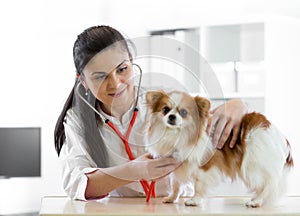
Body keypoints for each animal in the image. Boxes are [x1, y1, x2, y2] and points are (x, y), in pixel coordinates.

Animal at [145, 90, 292, 208]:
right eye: (165, 110)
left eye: (184, 112)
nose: (171, 116)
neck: (177, 134)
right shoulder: (176, 165)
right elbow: (175, 184)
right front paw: (172, 198)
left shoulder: (204, 166)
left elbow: (198, 185)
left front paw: (195, 200)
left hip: (253, 166)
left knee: (268, 185)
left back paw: (256, 201)